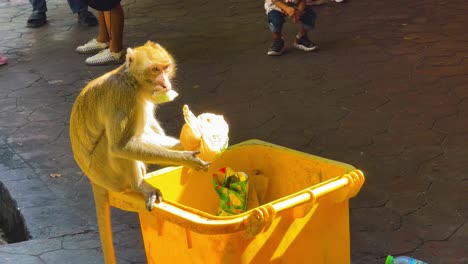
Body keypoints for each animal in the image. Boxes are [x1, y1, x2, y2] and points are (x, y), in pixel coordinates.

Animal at [69, 40, 208, 212]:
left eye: (166, 68)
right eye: (155, 70)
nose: (165, 84)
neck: (133, 82)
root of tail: (94, 180)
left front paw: (187, 143)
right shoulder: (124, 95)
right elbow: (122, 146)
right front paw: (186, 158)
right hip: (109, 176)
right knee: (115, 144)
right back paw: (139, 186)